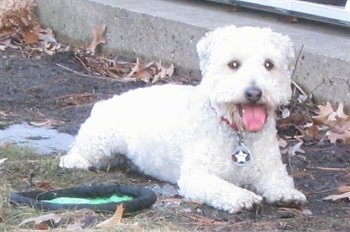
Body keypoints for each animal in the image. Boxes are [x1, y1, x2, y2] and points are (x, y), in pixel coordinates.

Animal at [60, 25, 306, 214]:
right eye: (234, 64)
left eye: (269, 64)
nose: (254, 93)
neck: (237, 132)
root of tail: (103, 104)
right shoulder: (197, 177)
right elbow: (222, 187)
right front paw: (241, 197)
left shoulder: (271, 168)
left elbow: (279, 181)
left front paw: (288, 194)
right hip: (101, 140)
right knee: (77, 153)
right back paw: (73, 161)